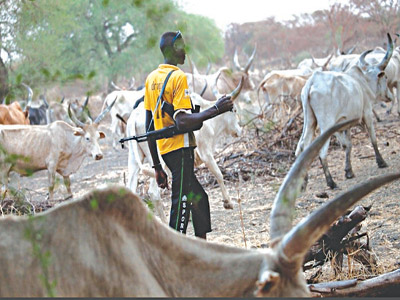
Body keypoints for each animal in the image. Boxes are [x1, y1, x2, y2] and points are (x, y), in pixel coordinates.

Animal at [296, 34, 392, 188]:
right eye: (386, 77)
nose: (388, 96)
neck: (362, 81)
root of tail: (312, 81)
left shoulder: (343, 125)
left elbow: (348, 145)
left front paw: (349, 171)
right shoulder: (367, 113)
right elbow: (373, 138)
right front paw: (381, 162)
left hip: (310, 121)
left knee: (302, 146)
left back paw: (303, 182)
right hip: (326, 124)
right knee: (321, 152)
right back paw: (331, 182)